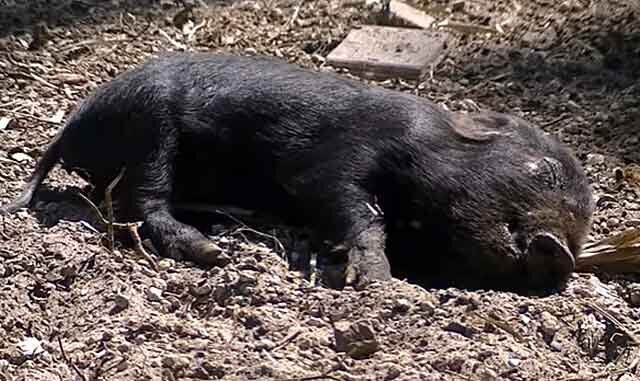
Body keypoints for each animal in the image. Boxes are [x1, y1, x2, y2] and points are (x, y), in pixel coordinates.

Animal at [0, 53, 596, 290]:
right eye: (541, 169)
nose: (561, 255)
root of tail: (73, 124)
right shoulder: (338, 161)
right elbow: (355, 211)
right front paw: (378, 282)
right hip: (151, 129)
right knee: (137, 204)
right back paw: (216, 253)